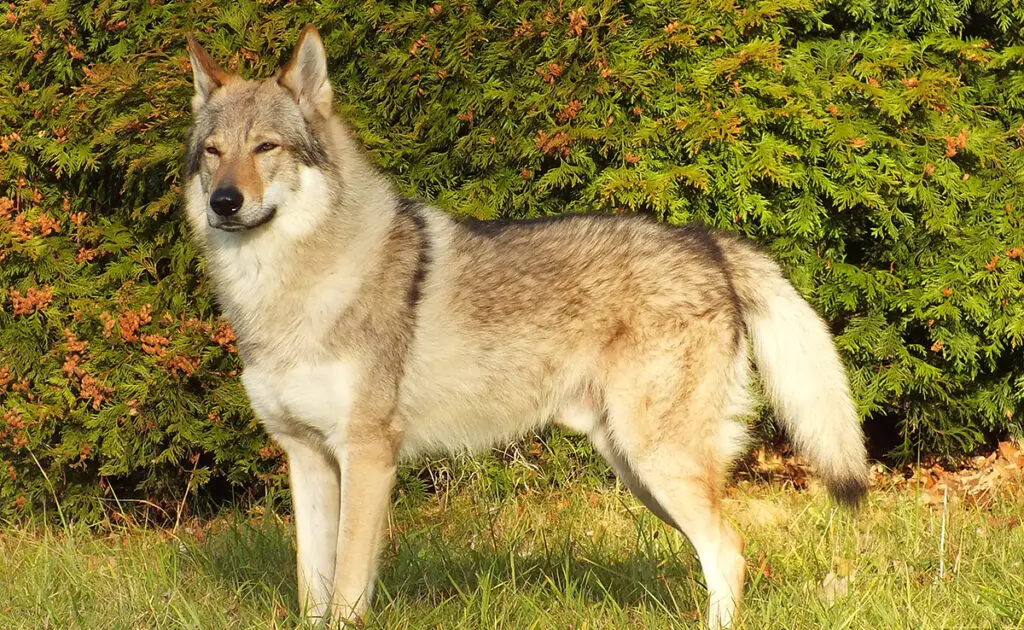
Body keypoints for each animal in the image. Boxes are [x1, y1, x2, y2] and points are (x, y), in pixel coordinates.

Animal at [183, 25, 869, 629]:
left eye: (266, 147)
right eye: (213, 153)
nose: (224, 202)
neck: (287, 291)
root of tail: (708, 242)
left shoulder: (369, 458)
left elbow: (349, 592)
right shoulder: (307, 459)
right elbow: (314, 594)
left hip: (658, 464)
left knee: (728, 551)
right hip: (638, 471)